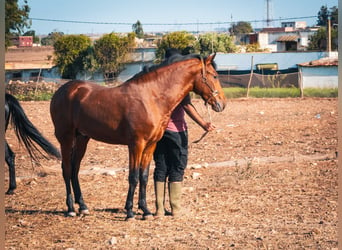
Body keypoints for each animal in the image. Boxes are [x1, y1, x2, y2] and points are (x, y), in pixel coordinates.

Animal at [49, 52, 226, 219]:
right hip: (66, 138)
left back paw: (83, 207)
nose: (222, 104)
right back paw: (71, 209)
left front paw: (146, 210)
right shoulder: (136, 144)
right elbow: (133, 176)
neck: (151, 97)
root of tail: (61, 91)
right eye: (214, 76)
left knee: (75, 169)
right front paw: (130, 212)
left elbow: (144, 176)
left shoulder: (150, 145)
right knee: (66, 169)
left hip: (82, 139)